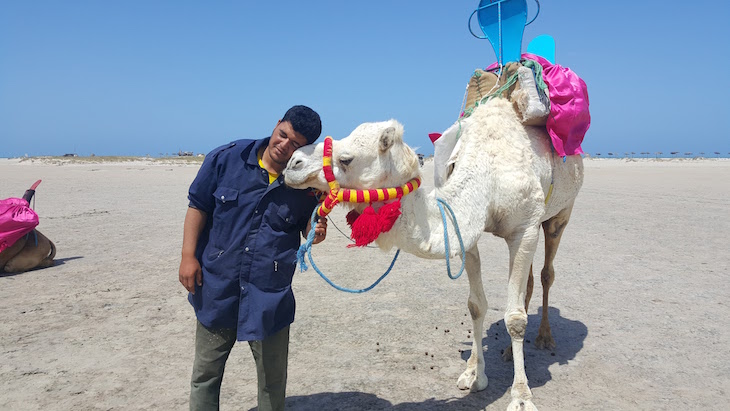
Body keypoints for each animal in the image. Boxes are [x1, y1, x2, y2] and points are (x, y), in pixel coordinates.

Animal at [282, 97, 580, 411]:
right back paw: (505, 355)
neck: (488, 174)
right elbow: (476, 305)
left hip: (559, 214)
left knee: (547, 273)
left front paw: (521, 397)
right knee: (530, 283)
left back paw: (545, 338)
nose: (292, 163)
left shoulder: (524, 229)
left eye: (346, 159)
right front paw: (475, 375)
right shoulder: (464, 235)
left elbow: (515, 319)